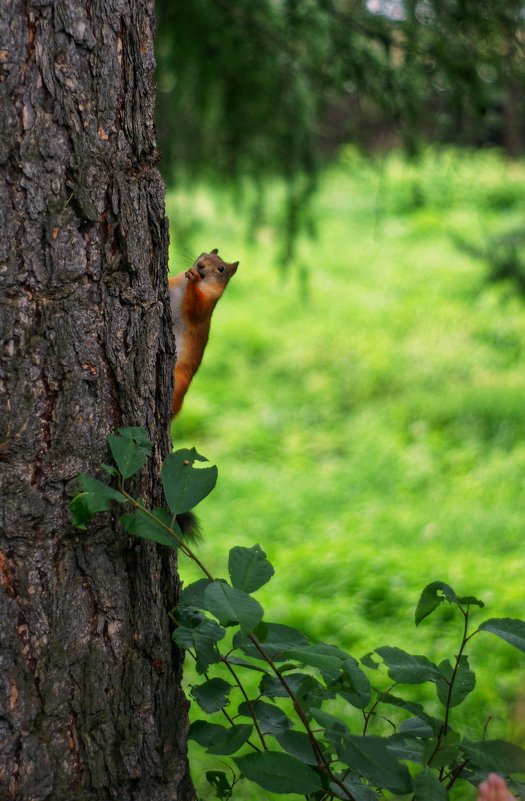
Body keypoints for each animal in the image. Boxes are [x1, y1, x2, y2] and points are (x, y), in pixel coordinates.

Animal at [169, 247, 238, 416]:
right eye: (202, 254)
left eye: (221, 269)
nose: (200, 265)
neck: (183, 286)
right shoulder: (174, 284)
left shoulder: (206, 305)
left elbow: (195, 309)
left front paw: (193, 280)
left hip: (179, 382)